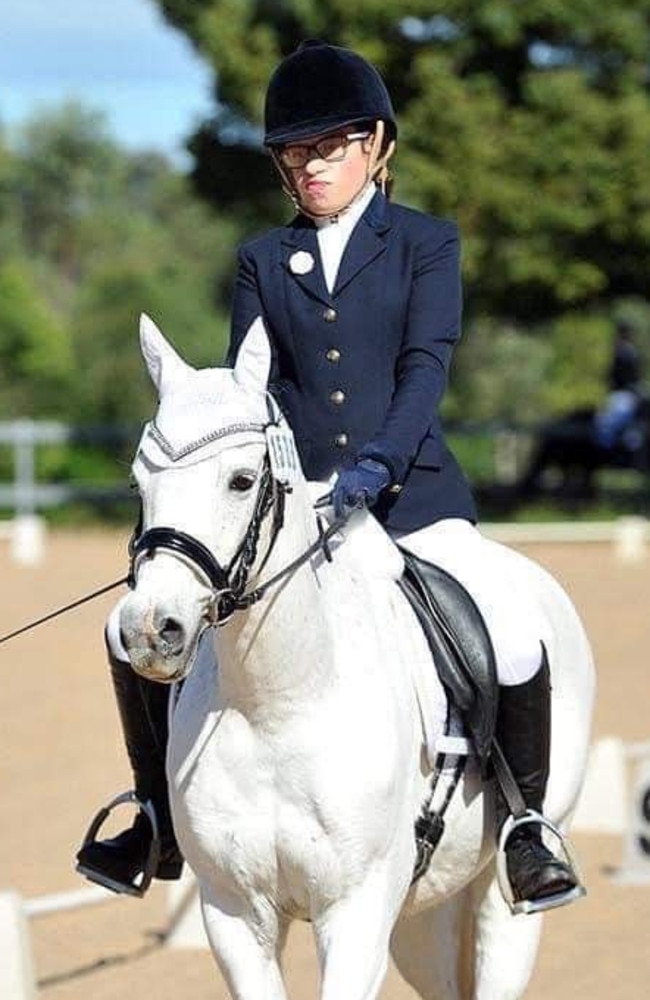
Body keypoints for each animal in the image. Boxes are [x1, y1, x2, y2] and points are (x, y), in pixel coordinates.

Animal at [116, 314, 592, 1000]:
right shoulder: (233, 914)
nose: (152, 630)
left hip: (503, 892)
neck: (276, 703)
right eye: (138, 482)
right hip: (421, 911)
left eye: (241, 480)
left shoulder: (356, 912)